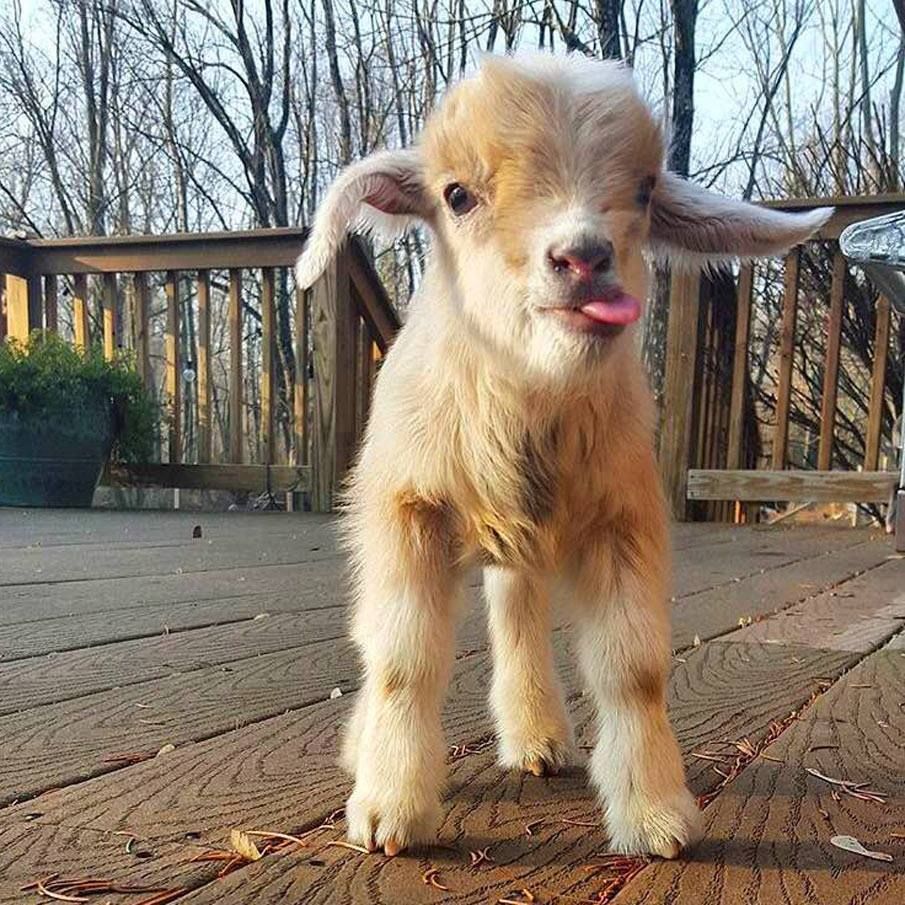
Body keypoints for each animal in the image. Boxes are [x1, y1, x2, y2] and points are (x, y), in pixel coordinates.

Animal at [296, 52, 830, 860]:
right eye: (456, 195)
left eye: (643, 189)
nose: (583, 257)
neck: (528, 395)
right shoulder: (405, 509)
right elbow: (401, 658)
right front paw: (389, 811)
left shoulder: (624, 516)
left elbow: (633, 668)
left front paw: (656, 817)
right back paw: (369, 750)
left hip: (521, 545)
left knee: (517, 618)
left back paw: (538, 739)